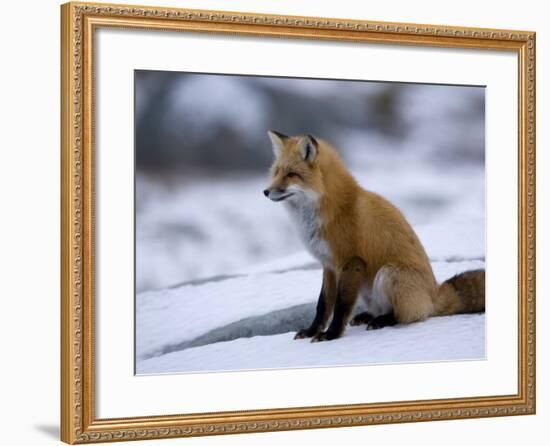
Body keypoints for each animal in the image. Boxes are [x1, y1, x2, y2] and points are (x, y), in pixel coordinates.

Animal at [266, 132, 486, 342]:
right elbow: (323, 305)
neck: (333, 209)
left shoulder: (351, 261)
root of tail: (434, 295)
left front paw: (331, 335)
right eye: (276, 172)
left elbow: (341, 305)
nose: (266, 191)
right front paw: (312, 331)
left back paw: (383, 320)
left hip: (389, 273)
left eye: (291, 174)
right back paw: (368, 316)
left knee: (410, 315)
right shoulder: (328, 265)